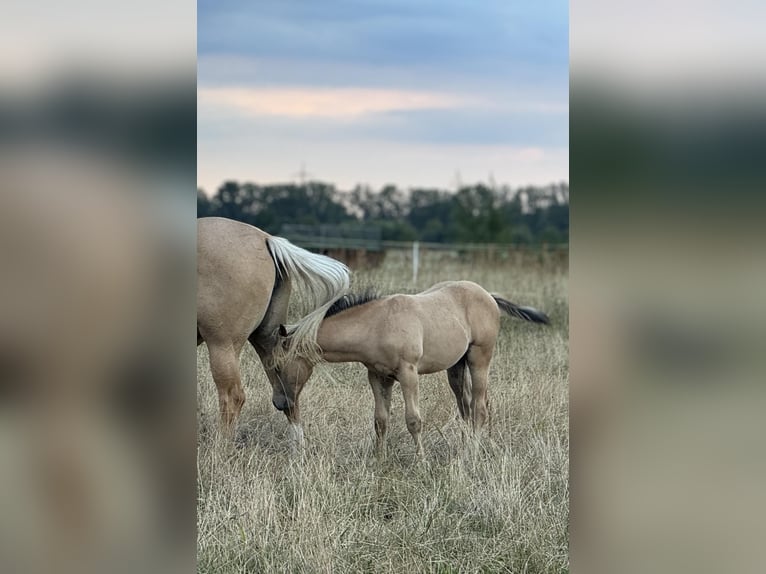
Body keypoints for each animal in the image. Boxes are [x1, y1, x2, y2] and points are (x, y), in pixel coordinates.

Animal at [198, 217, 354, 446]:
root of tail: (266, 239)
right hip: (269, 343)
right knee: (289, 397)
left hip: (222, 345)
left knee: (233, 396)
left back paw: (220, 448)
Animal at [272, 280, 548, 460]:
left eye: (276, 366)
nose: (280, 403)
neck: (377, 325)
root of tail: (488, 295)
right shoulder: (378, 376)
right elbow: (380, 420)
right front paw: (379, 460)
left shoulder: (408, 374)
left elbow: (413, 420)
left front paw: (421, 461)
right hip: (456, 367)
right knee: (468, 406)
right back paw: (471, 445)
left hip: (480, 358)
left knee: (479, 407)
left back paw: (471, 453)